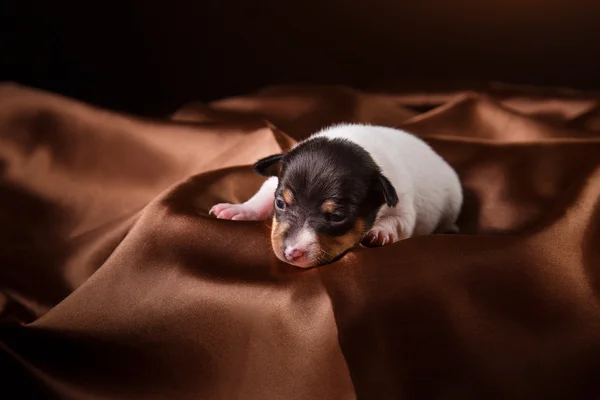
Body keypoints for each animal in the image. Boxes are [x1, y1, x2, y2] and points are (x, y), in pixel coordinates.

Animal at [209, 123, 462, 268]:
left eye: (337, 217)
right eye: (280, 203)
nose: (291, 252)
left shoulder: (404, 207)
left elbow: (399, 223)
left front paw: (380, 232)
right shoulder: (275, 181)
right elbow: (261, 197)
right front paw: (239, 209)